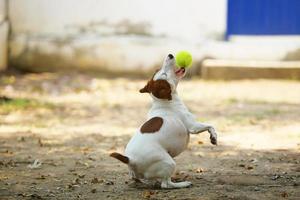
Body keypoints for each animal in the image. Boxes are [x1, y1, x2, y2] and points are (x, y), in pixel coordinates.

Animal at [110, 54, 218, 188]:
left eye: (157, 70)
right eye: (164, 74)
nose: (170, 55)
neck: (164, 102)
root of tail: (130, 159)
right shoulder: (193, 126)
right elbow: (211, 126)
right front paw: (213, 138)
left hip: (138, 172)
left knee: (138, 178)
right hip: (169, 162)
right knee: (166, 184)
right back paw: (182, 184)